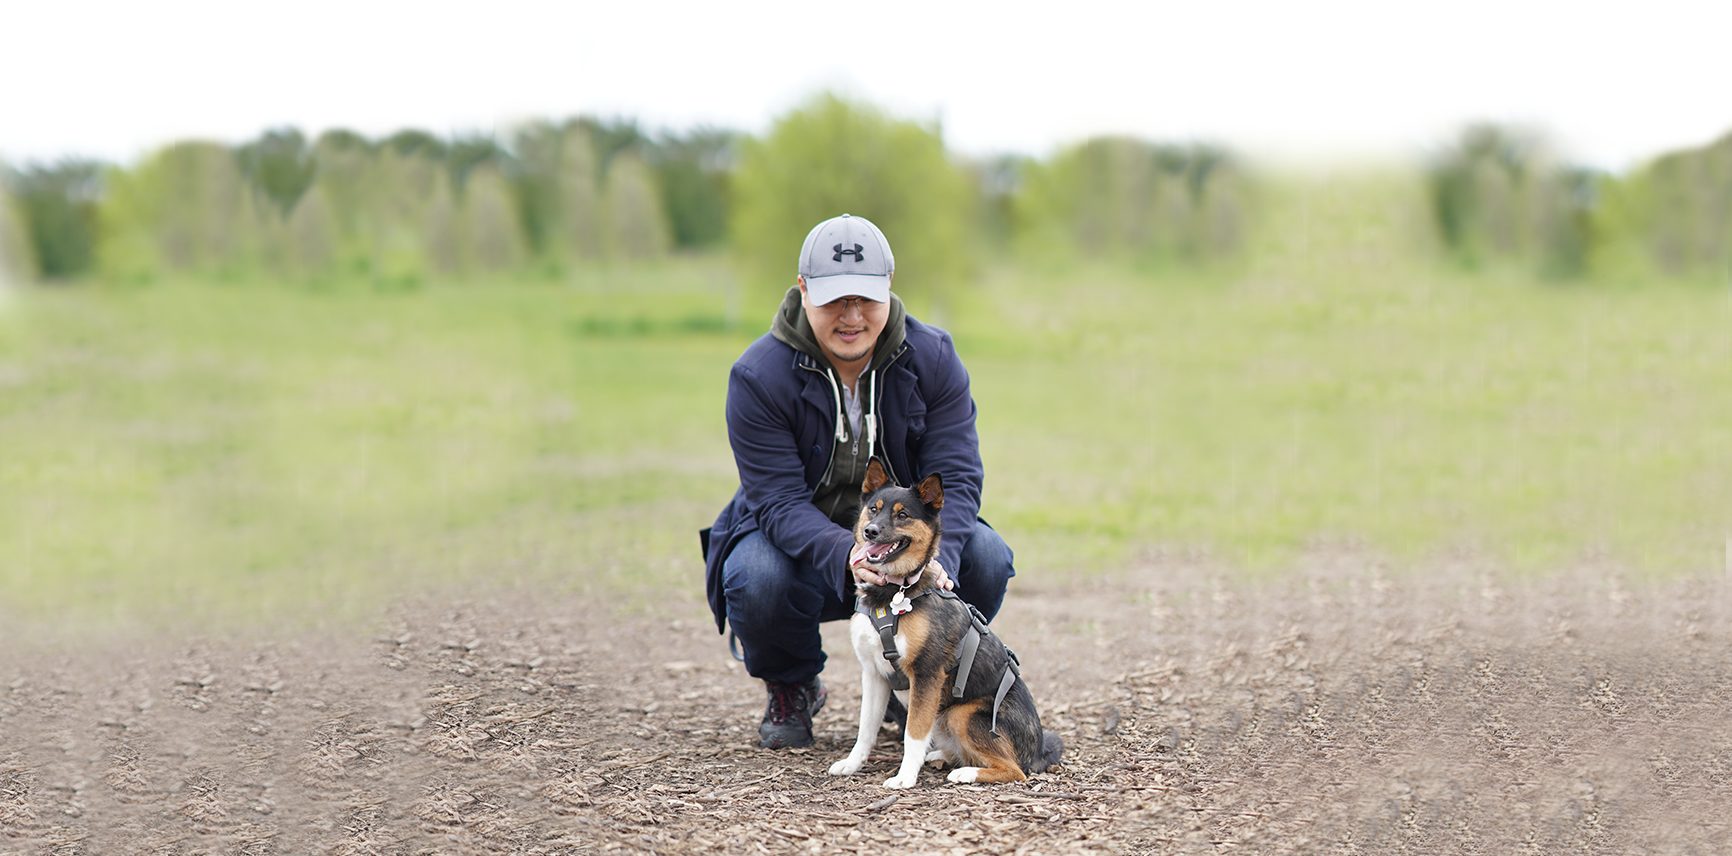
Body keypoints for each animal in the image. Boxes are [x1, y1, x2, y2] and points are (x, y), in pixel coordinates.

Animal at [820, 460, 1053, 790]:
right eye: (873, 510)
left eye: (903, 515)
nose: (870, 531)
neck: (894, 593)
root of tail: (1037, 753)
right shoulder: (873, 674)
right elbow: (866, 729)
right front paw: (852, 764)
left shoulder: (926, 675)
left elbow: (913, 733)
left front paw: (905, 777)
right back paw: (942, 757)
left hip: (962, 713)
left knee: (1014, 770)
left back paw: (966, 772)